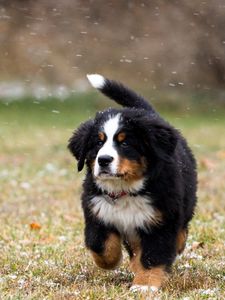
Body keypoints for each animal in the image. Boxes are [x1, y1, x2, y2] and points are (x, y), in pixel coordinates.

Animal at [68, 74, 197, 292]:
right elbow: (100, 245)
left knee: (181, 229)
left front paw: (144, 285)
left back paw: (178, 244)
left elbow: (153, 256)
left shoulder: (160, 221)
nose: (104, 160)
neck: (125, 190)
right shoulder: (97, 212)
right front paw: (111, 261)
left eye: (125, 142)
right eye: (98, 142)